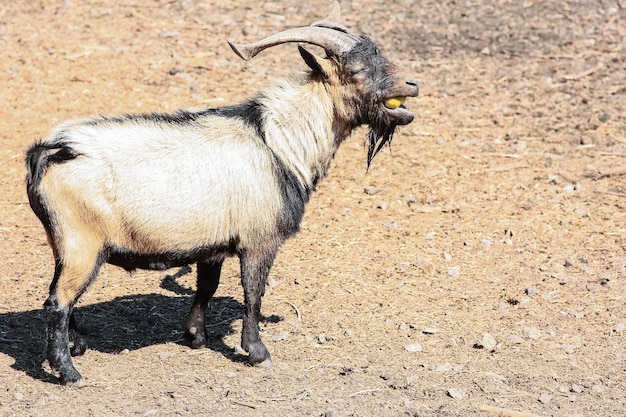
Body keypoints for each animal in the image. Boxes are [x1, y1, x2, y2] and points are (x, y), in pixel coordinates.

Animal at [24, 2, 416, 386]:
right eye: (358, 70)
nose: (412, 84)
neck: (279, 141)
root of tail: (52, 149)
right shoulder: (260, 240)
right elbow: (253, 293)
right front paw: (257, 352)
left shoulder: (210, 245)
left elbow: (207, 286)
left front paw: (196, 337)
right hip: (83, 241)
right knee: (57, 302)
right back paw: (69, 372)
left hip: (64, 243)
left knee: (61, 293)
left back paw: (78, 346)